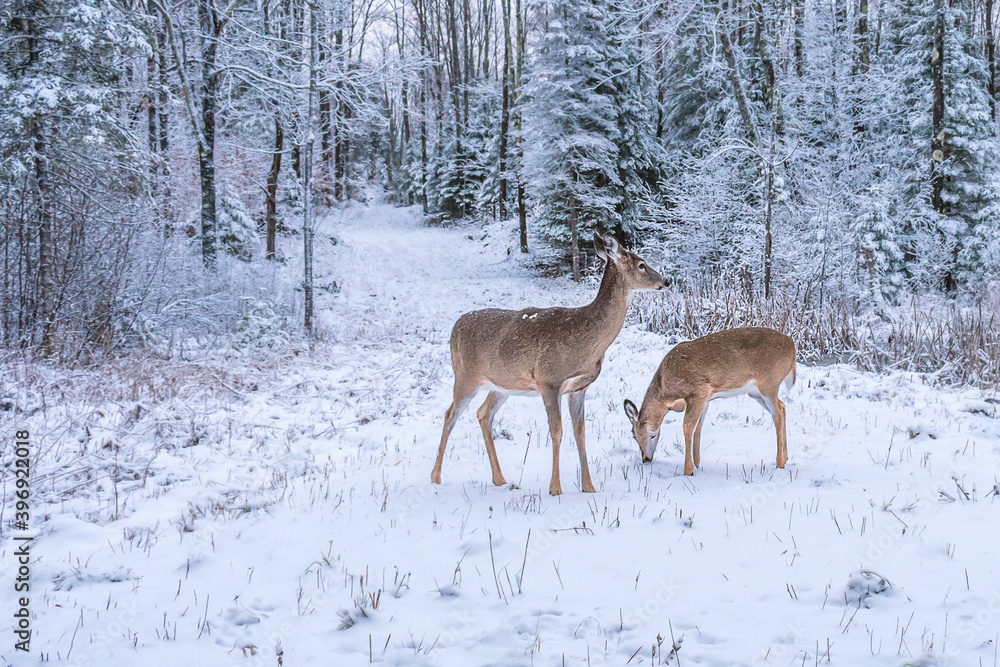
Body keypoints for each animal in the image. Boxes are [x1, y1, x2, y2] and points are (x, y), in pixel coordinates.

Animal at [431, 233, 668, 495]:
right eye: (642, 265)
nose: (666, 281)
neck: (587, 342)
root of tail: (455, 327)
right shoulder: (549, 380)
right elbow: (557, 431)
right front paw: (555, 488)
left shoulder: (578, 388)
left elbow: (579, 433)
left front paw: (589, 487)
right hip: (465, 375)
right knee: (450, 415)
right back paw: (436, 477)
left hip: (502, 385)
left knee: (483, 414)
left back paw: (499, 479)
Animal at [622, 327, 796, 476]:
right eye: (634, 436)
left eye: (651, 434)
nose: (646, 458)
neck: (667, 394)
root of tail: (793, 348)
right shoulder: (705, 399)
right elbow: (698, 427)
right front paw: (697, 463)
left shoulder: (698, 391)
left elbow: (688, 427)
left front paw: (688, 470)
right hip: (755, 392)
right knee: (782, 407)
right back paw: (786, 456)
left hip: (768, 383)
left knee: (777, 414)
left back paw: (779, 463)